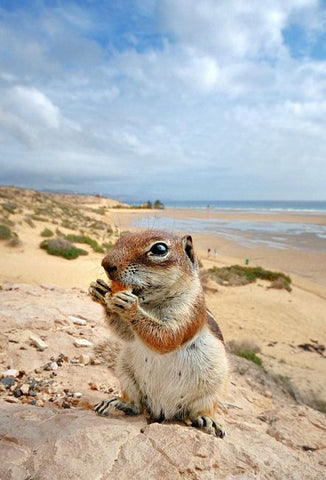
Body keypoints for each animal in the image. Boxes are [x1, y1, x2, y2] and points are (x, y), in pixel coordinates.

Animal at [88, 231, 228, 436]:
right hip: (127, 375)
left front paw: (129, 306)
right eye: (121, 239)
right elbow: (126, 335)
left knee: (201, 410)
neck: (152, 304)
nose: (106, 264)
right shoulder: (132, 335)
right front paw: (100, 291)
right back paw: (119, 403)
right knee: (137, 406)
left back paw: (207, 420)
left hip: (211, 392)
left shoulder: (190, 312)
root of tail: (162, 410)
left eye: (159, 249)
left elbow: (167, 337)